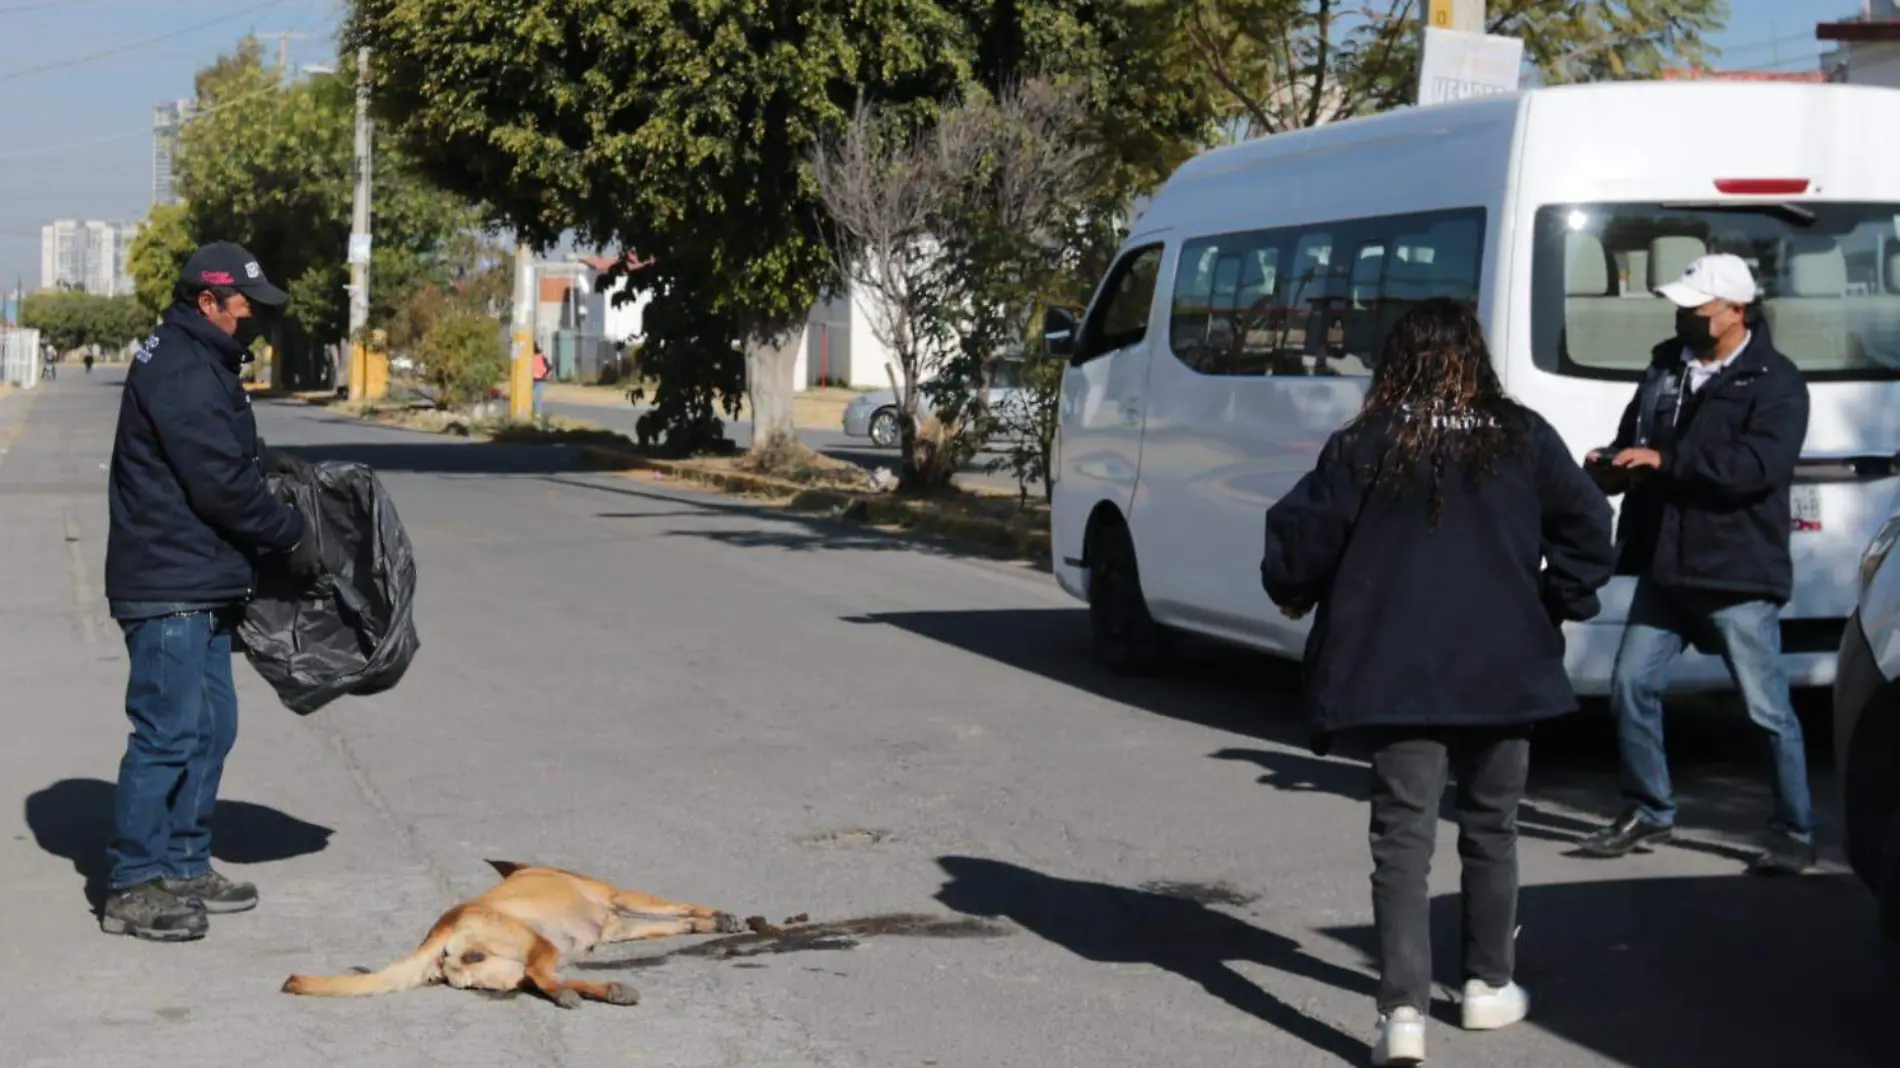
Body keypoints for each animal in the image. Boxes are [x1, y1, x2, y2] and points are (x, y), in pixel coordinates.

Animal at [281, 855, 741, 1003]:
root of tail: (442, 928)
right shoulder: (622, 898)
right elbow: (679, 907)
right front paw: (719, 916)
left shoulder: (620, 925)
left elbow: (678, 922)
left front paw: (708, 922)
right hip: (540, 945)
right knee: (542, 977)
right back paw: (595, 993)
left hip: (507, 970)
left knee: (537, 982)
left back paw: (598, 992)